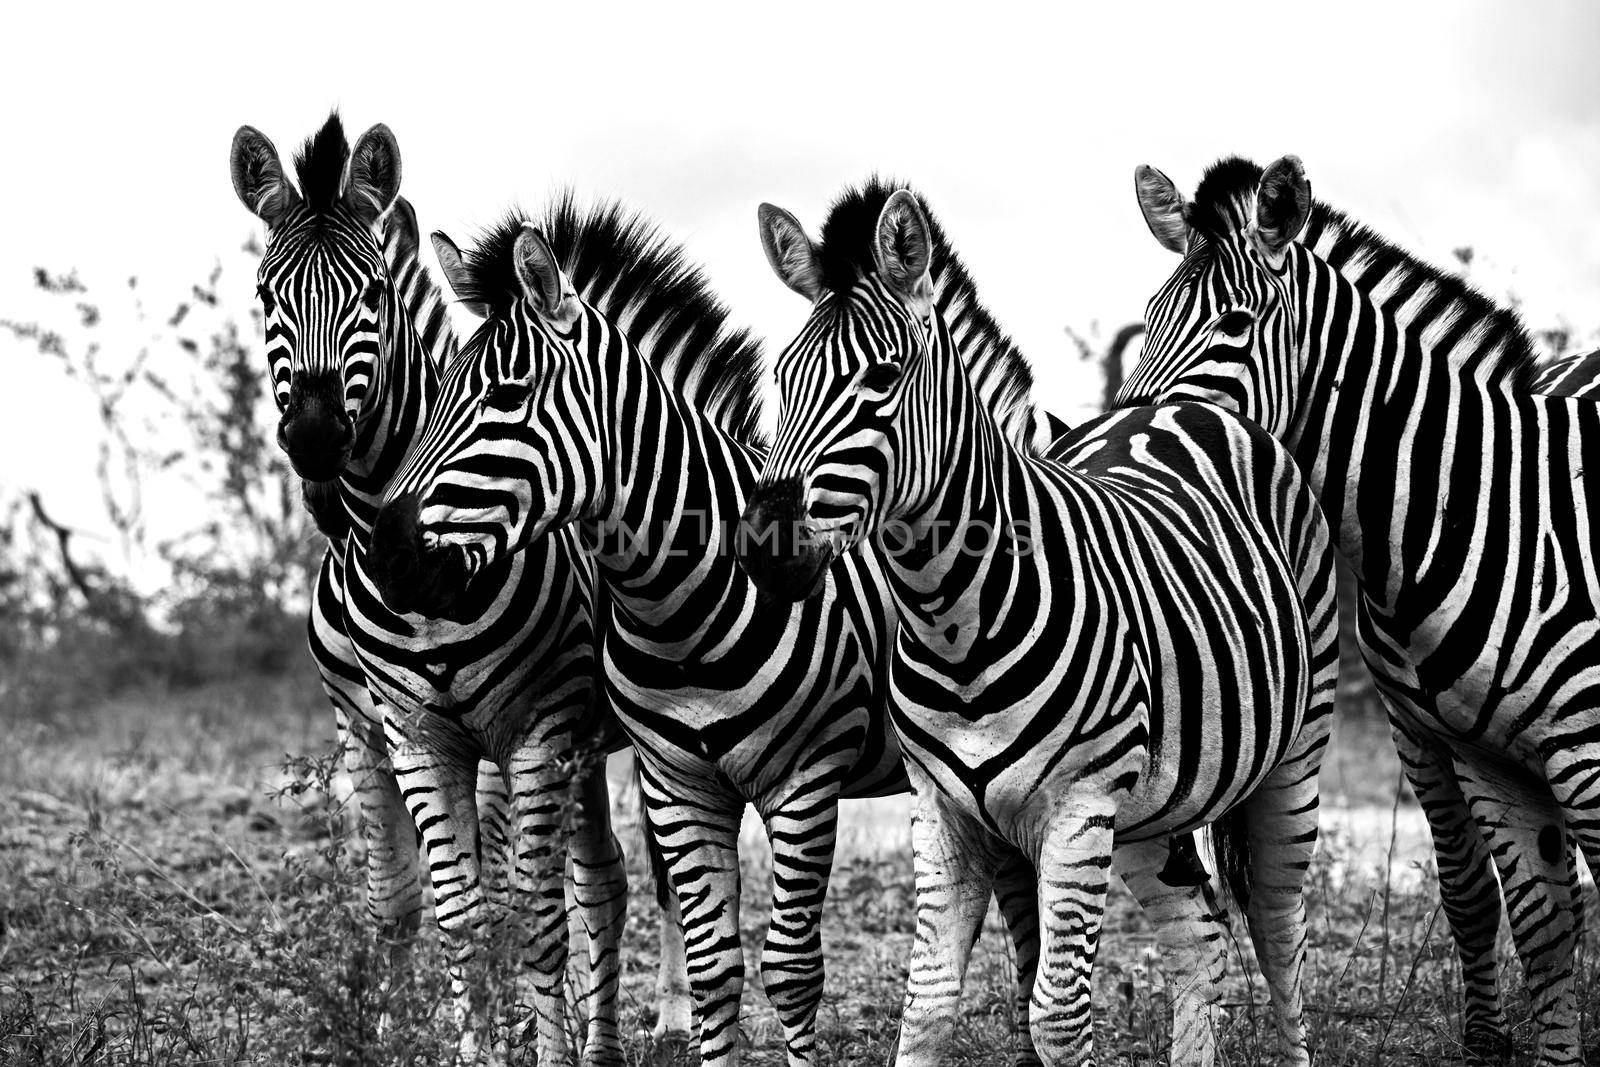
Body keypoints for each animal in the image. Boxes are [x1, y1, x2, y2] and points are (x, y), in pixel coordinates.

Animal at [227, 112, 688, 1062]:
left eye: (372, 294)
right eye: (263, 293)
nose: (316, 438)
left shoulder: (530, 727)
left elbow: (527, 915)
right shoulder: (390, 730)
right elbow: (433, 910)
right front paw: (422, 1032)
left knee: (634, 879)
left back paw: (664, 1019)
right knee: (603, 879)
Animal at [356, 199, 1043, 1067]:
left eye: (508, 396)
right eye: (440, 389)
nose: (388, 553)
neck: (679, 605)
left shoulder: (807, 776)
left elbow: (790, 969)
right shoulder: (674, 777)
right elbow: (715, 963)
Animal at [736, 183, 1337, 1067]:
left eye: (882, 378)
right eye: (783, 378)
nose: (764, 550)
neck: (952, 620)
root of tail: (1181, 407)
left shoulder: (1078, 807)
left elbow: (1056, 1014)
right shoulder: (942, 812)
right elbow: (925, 1004)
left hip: (1294, 752)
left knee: (1278, 929)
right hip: (1152, 802)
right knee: (1200, 941)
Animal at [1132, 154, 1600, 1062]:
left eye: (1235, 324)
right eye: (1147, 320)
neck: (1487, 504)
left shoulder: (1587, 749)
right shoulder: (1474, 748)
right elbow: (1534, 918)